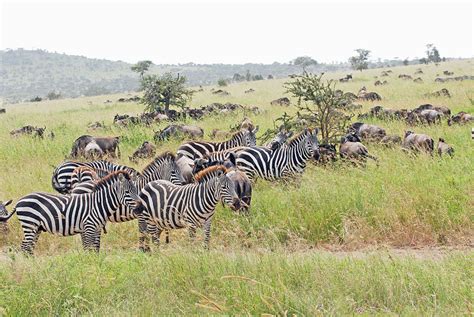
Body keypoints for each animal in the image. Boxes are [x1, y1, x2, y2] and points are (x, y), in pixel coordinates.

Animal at [0, 170, 140, 254]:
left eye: (136, 190)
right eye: (128, 192)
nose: (139, 208)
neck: (99, 204)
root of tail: (20, 200)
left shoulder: (96, 229)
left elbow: (95, 249)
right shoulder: (89, 228)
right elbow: (88, 249)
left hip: (36, 228)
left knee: (28, 248)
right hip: (29, 224)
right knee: (25, 247)